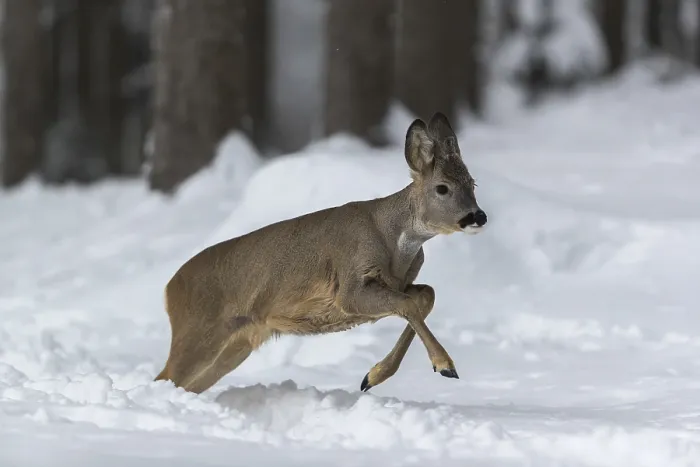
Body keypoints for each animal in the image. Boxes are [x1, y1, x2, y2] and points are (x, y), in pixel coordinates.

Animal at [154, 112, 488, 394]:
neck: (391, 239)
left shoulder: (399, 282)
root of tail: (169, 288)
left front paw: (372, 377)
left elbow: (425, 295)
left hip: (235, 346)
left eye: (472, 183)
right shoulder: (350, 285)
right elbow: (407, 304)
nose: (478, 216)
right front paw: (445, 365)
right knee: (164, 376)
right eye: (442, 188)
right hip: (198, 330)